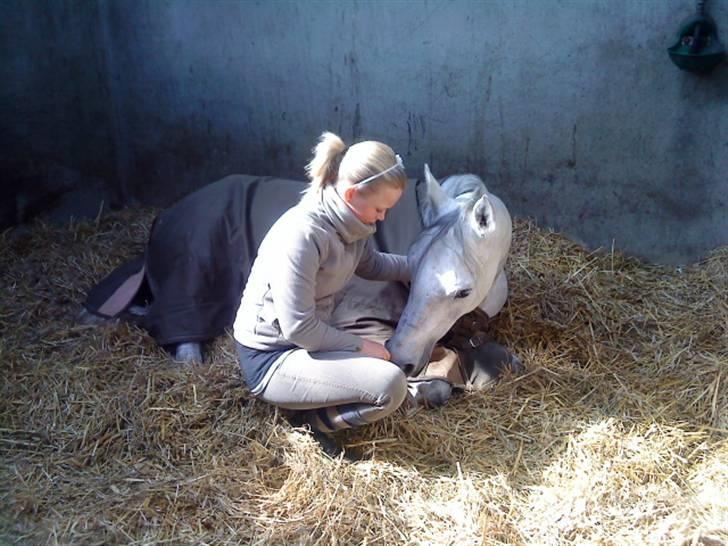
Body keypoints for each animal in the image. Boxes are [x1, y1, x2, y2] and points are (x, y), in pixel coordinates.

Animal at [82, 165, 520, 404]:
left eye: (461, 292)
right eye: (408, 277)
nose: (401, 358)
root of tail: (164, 218)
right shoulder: (358, 321)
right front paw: (419, 387)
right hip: (191, 277)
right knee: (181, 336)